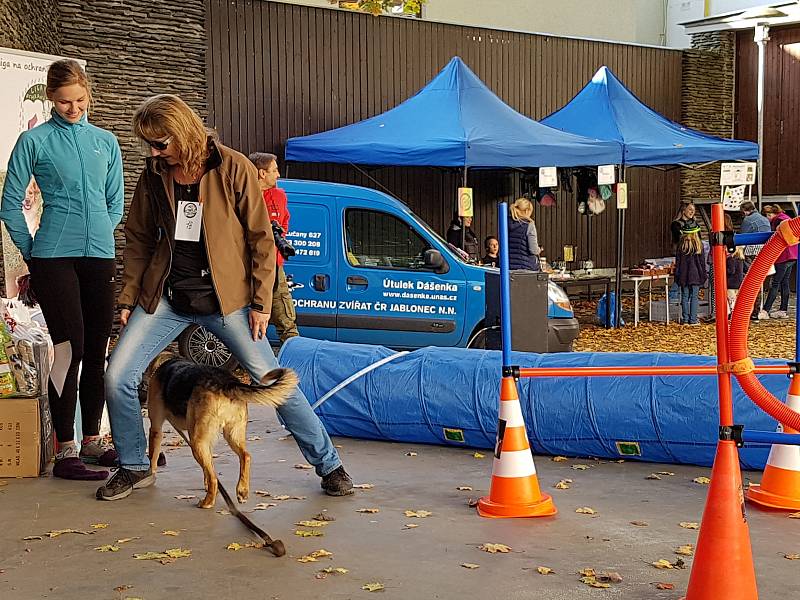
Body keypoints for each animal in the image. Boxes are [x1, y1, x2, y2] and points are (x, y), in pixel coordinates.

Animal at [148, 358, 298, 508]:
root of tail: (225, 382)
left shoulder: (156, 430)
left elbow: (153, 457)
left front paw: (150, 474)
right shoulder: (208, 442)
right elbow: (207, 468)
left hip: (197, 443)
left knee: (214, 478)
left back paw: (207, 502)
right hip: (231, 434)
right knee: (245, 456)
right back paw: (242, 490)